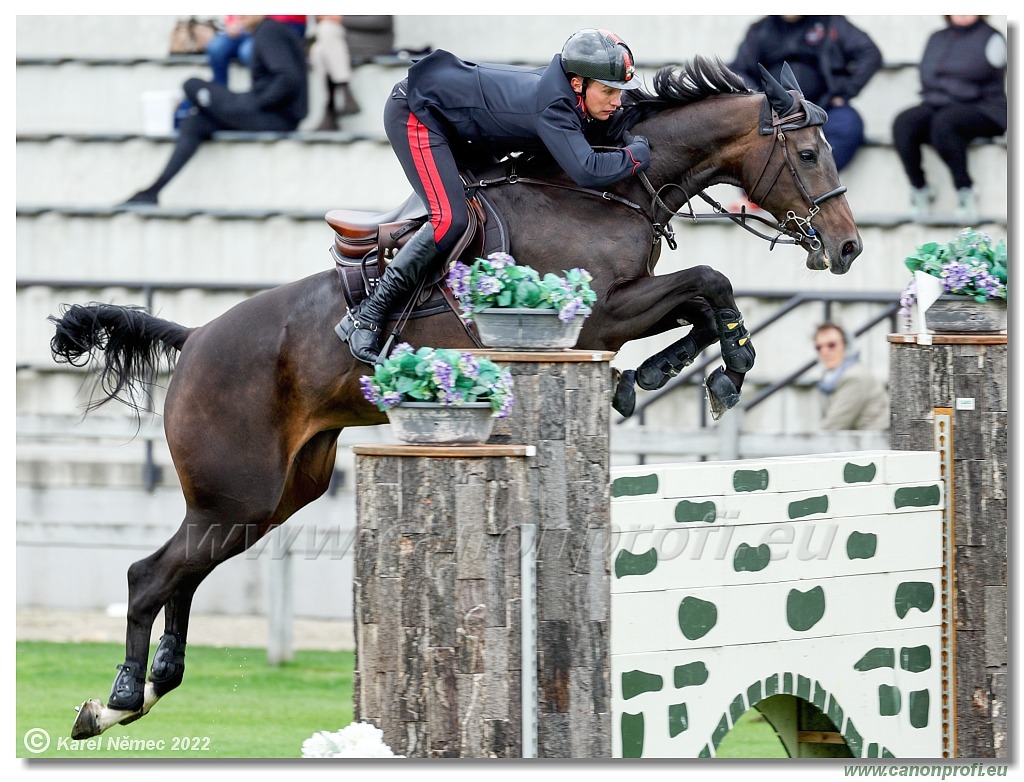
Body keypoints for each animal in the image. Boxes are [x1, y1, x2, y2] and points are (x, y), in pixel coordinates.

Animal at [49, 58, 864, 736]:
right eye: (807, 154)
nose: (848, 247)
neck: (606, 189)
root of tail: (193, 339)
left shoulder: (618, 311)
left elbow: (699, 298)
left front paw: (660, 375)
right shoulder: (600, 313)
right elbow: (708, 282)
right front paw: (717, 368)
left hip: (272, 496)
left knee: (184, 574)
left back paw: (150, 687)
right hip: (238, 490)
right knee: (149, 577)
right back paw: (113, 701)